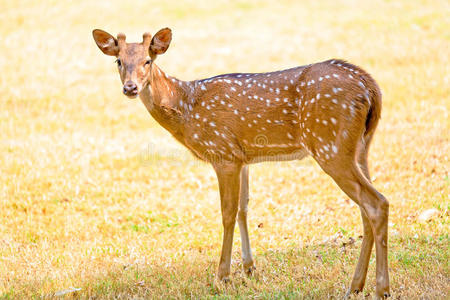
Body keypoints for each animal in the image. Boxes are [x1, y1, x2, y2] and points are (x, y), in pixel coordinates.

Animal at [92, 27, 390, 298]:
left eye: (148, 60)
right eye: (119, 61)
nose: (130, 87)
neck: (186, 107)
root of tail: (370, 86)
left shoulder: (223, 153)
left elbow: (227, 213)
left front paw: (222, 276)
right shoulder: (243, 157)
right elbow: (244, 209)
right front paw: (249, 268)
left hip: (330, 145)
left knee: (376, 203)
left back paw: (381, 289)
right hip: (361, 145)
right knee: (366, 208)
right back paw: (356, 286)